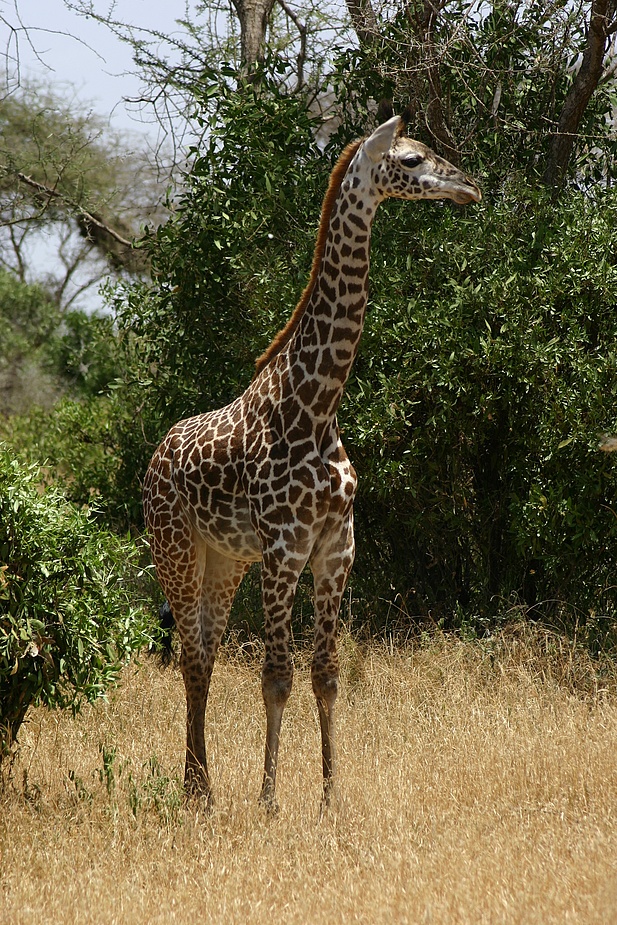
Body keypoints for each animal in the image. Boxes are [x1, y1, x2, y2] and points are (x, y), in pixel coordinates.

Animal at [143, 110, 482, 808]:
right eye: (411, 159)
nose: (471, 188)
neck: (318, 404)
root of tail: (156, 458)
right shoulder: (285, 547)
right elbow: (277, 675)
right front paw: (270, 800)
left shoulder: (336, 545)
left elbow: (326, 672)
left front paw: (330, 799)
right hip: (176, 550)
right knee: (189, 653)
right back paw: (199, 792)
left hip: (225, 560)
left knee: (205, 654)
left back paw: (201, 786)